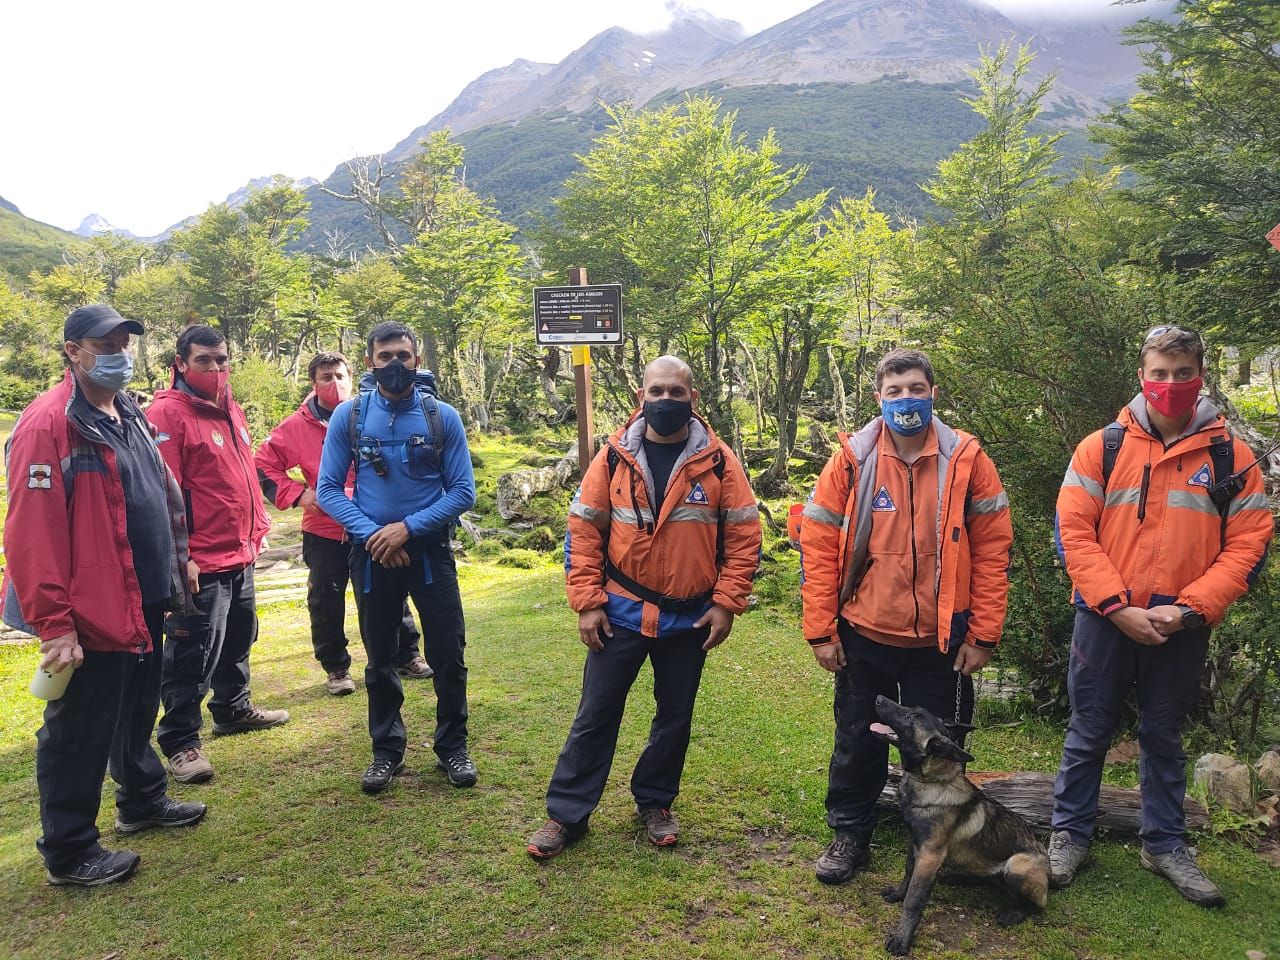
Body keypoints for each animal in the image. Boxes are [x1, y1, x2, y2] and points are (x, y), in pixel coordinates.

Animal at [870, 696, 1049, 957]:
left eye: (911, 717)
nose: (879, 698)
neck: (930, 781)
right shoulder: (914, 844)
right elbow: (907, 875)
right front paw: (897, 894)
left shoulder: (930, 855)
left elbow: (915, 900)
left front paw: (902, 938)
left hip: (1017, 865)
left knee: (1036, 904)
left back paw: (1015, 913)